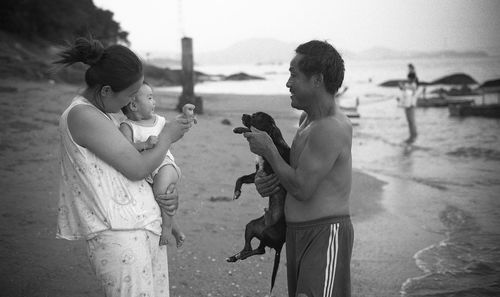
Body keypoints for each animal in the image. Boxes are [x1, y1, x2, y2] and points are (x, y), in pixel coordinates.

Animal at [227, 111, 290, 292]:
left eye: (256, 117)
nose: (243, 114)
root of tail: (279, 245)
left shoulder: (269, 169)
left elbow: (253, 131)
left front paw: (241, 129)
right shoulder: (256, 174)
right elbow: (241, 178)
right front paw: (237, 192)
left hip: (265, 232)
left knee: (259, 250)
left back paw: (238, 255)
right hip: (252, 227)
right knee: (255, 249)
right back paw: (236, 256)